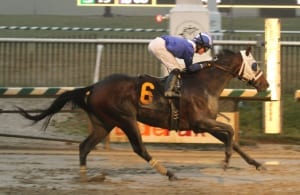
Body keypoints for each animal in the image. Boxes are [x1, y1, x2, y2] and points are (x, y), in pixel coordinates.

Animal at [17, 47, 270, 181]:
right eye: (255, 65)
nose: (265, 84)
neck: (204, 83)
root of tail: (94, 87)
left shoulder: (205, 123)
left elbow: (233, 139)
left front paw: (258, 164)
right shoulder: (201, 122)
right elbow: (230, 131)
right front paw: (225, 161)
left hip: (103, 124)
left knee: (84, 147)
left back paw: (85, 178)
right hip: (125, 119)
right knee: (139, 148)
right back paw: (168, 173)